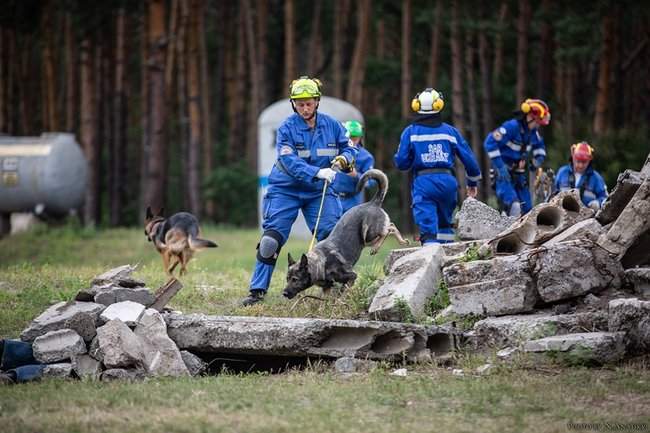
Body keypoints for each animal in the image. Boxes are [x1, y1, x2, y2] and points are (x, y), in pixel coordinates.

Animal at [280, 170, 408, 298]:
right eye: (287, 279)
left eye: (295, 279)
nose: (284, 293)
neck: (322, 263)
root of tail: (372, 203)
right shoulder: (327, 288)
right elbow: (327, 300)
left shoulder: (351, 276)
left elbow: (342, 291)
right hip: (365, 240)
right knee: (391, 226)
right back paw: (402, 241)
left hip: (368, 235)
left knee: (388, 229)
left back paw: (378, 247)